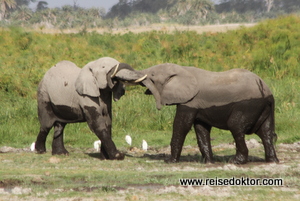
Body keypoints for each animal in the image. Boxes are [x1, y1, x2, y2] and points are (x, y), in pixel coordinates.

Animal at [139, 63, 280, 164]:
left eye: (152, 75)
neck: (183, 70)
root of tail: (266, 90)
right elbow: (201, 129)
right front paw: (209, 162)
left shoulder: (191, 102)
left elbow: (181, 126)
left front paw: (169, 161)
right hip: (261, 108)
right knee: (265, 132)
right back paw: (272, 161)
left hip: (249, 105)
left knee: (235, 125)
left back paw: (236, 162)